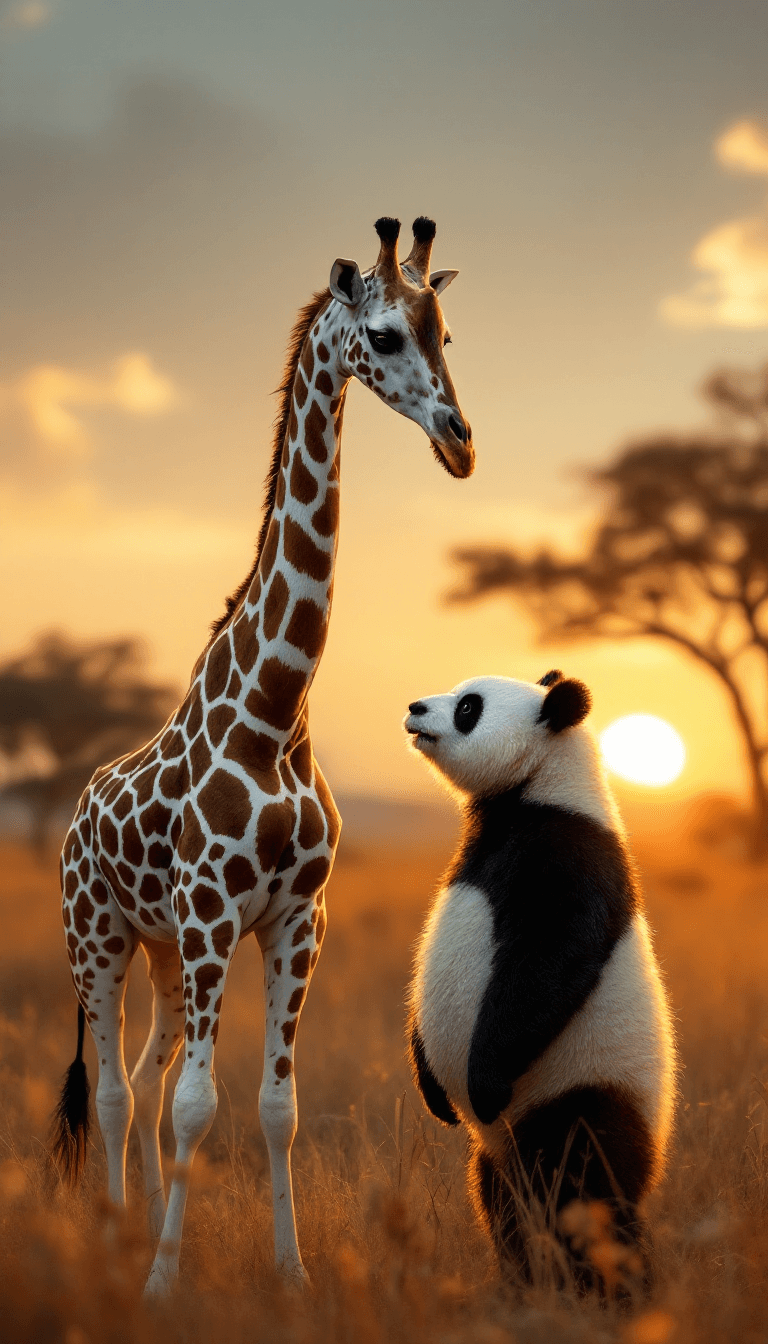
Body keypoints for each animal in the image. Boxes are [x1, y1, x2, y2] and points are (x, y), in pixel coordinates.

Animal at [52, 216, 474, 1297]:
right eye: (385, 334)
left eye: (447, 331)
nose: (460, 442)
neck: (278, 710)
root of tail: (74, 811)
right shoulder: (212, 917)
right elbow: (196, 1107)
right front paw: (163, 1287)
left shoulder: (294, 921)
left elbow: (271, 1108)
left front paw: (293, 1276)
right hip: (99, 939)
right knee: (115, 1089)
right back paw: (116, 1247)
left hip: (162, 950)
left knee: (147, 1076)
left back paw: (138, 1230)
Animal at [403, 670, 676, 1294]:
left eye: (469, 707)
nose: (416, 707)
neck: (535, 790)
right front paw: (438, 1096)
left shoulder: (566, 853)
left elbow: (549, 963)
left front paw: (480, 1085)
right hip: (500, 1152)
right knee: (503, 1202)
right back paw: (523, 1286)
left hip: (581, 1084)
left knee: (579, 1186)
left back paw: (615, 1290)